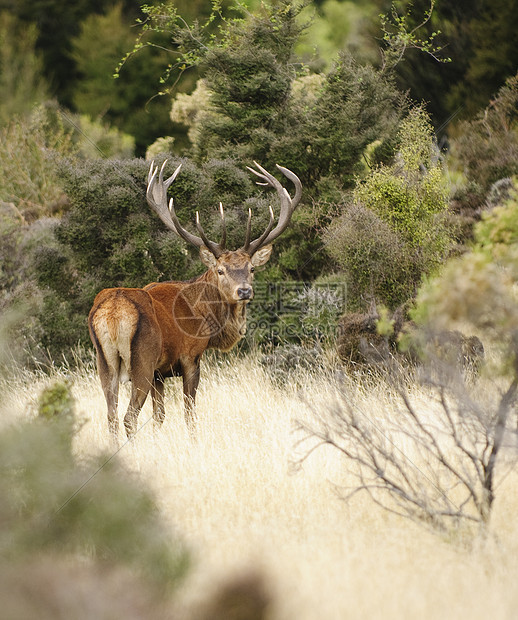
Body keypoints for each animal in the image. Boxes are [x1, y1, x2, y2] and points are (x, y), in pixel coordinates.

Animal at [88, 162, 302, 438]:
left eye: (251, 268)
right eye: (220, 270)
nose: (244, 291)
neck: (205, 315)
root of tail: (112, 312)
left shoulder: (159, 373)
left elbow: (159, 416)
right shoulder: (190, 357)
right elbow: (190, 414)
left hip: (104, 363)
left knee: (111, 417)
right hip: (142, 360)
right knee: (128, 417)